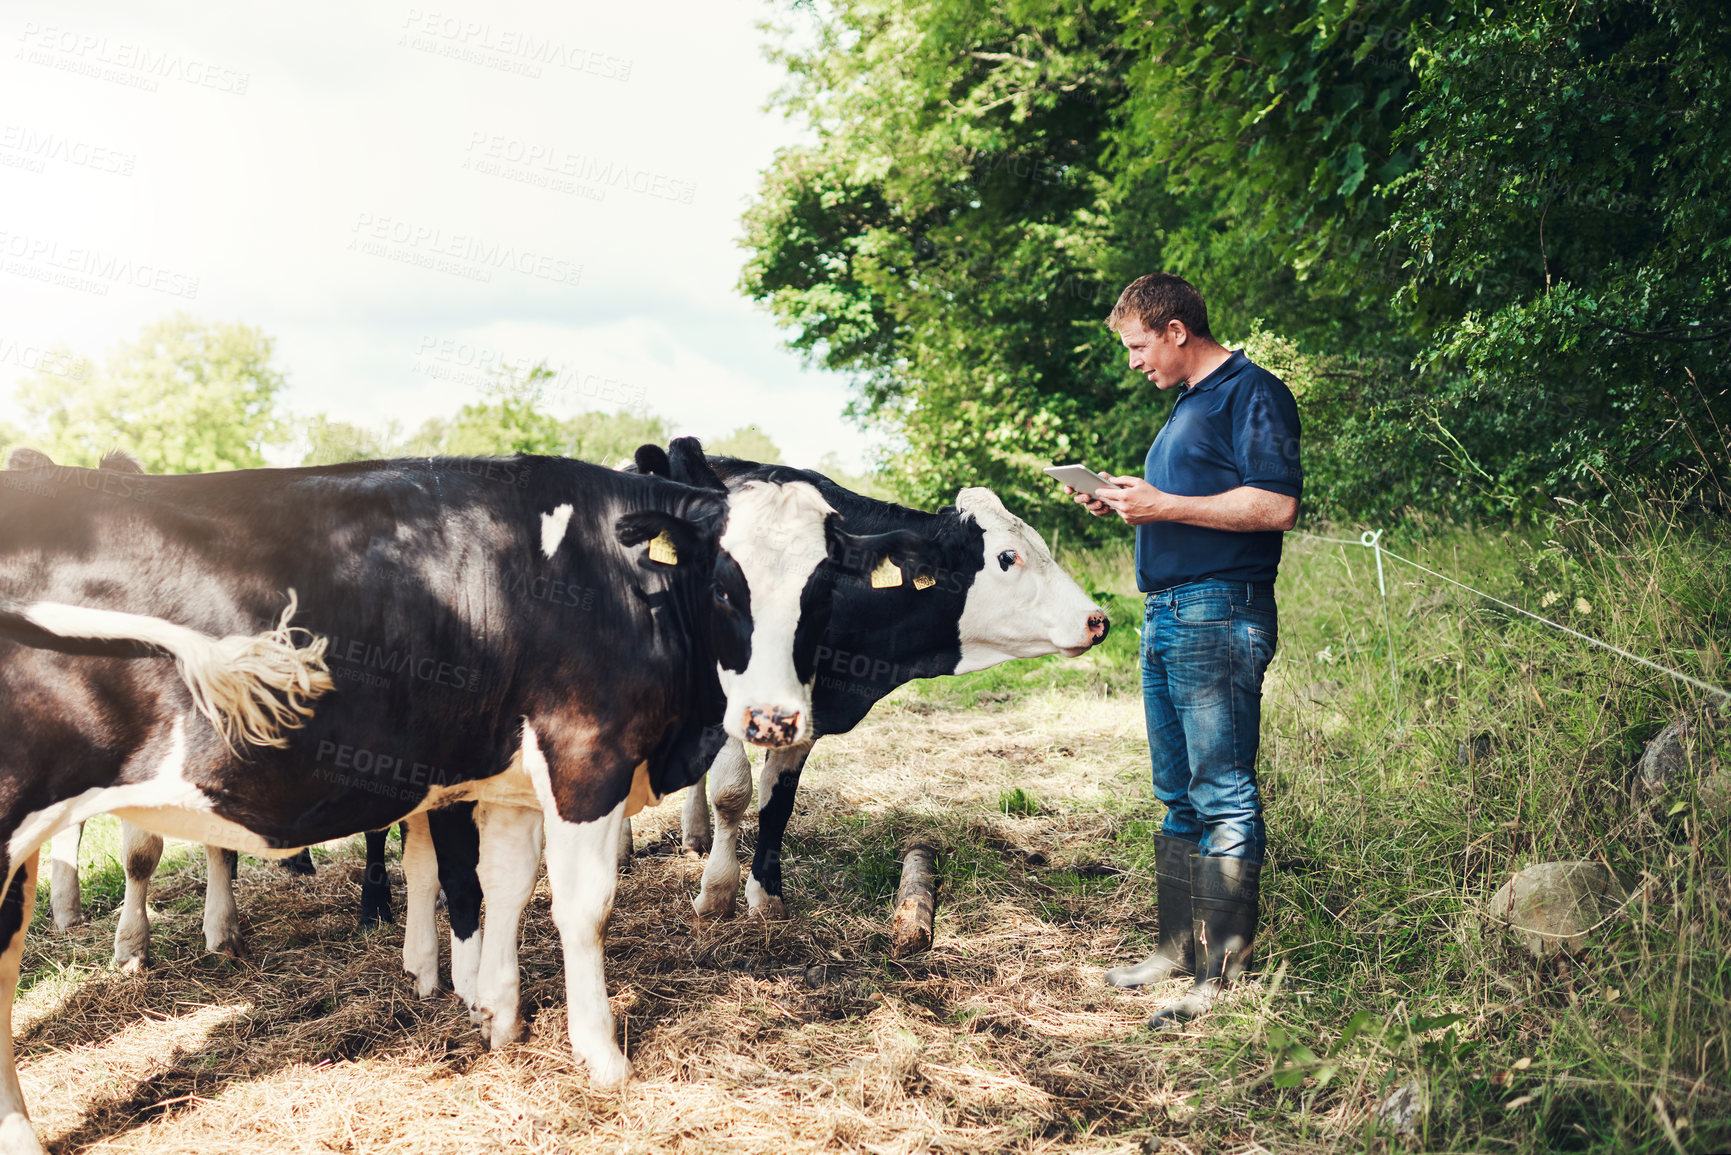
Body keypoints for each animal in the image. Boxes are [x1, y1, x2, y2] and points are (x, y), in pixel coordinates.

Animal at [0, 446, 920, 1149]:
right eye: (727, 582)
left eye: (820, 590)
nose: (773, 718)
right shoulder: (586, 756)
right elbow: (581, 906)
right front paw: (601, 1057)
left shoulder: (511, 779)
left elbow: (503, 887)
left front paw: (500, 1020)